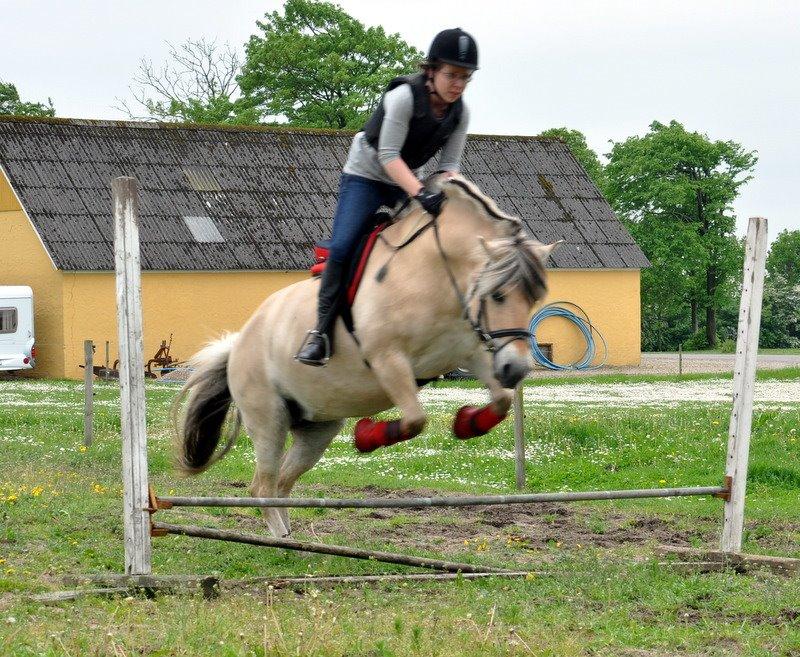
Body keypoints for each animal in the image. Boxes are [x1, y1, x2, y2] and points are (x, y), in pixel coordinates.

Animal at [175, 176, 556, 540]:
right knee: (263, 486)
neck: (434, 275)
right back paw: (281, 538)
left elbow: (501, 402)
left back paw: (298, 542)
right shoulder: (388, 359)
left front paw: (467, 423)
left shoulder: (470, 350)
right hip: (269, 418)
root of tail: (238, 344)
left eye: (535, 298)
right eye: (498, 294)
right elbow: (415, 419)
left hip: (316, 428)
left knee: (282, 483)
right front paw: (366, 435)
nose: (516, 369)